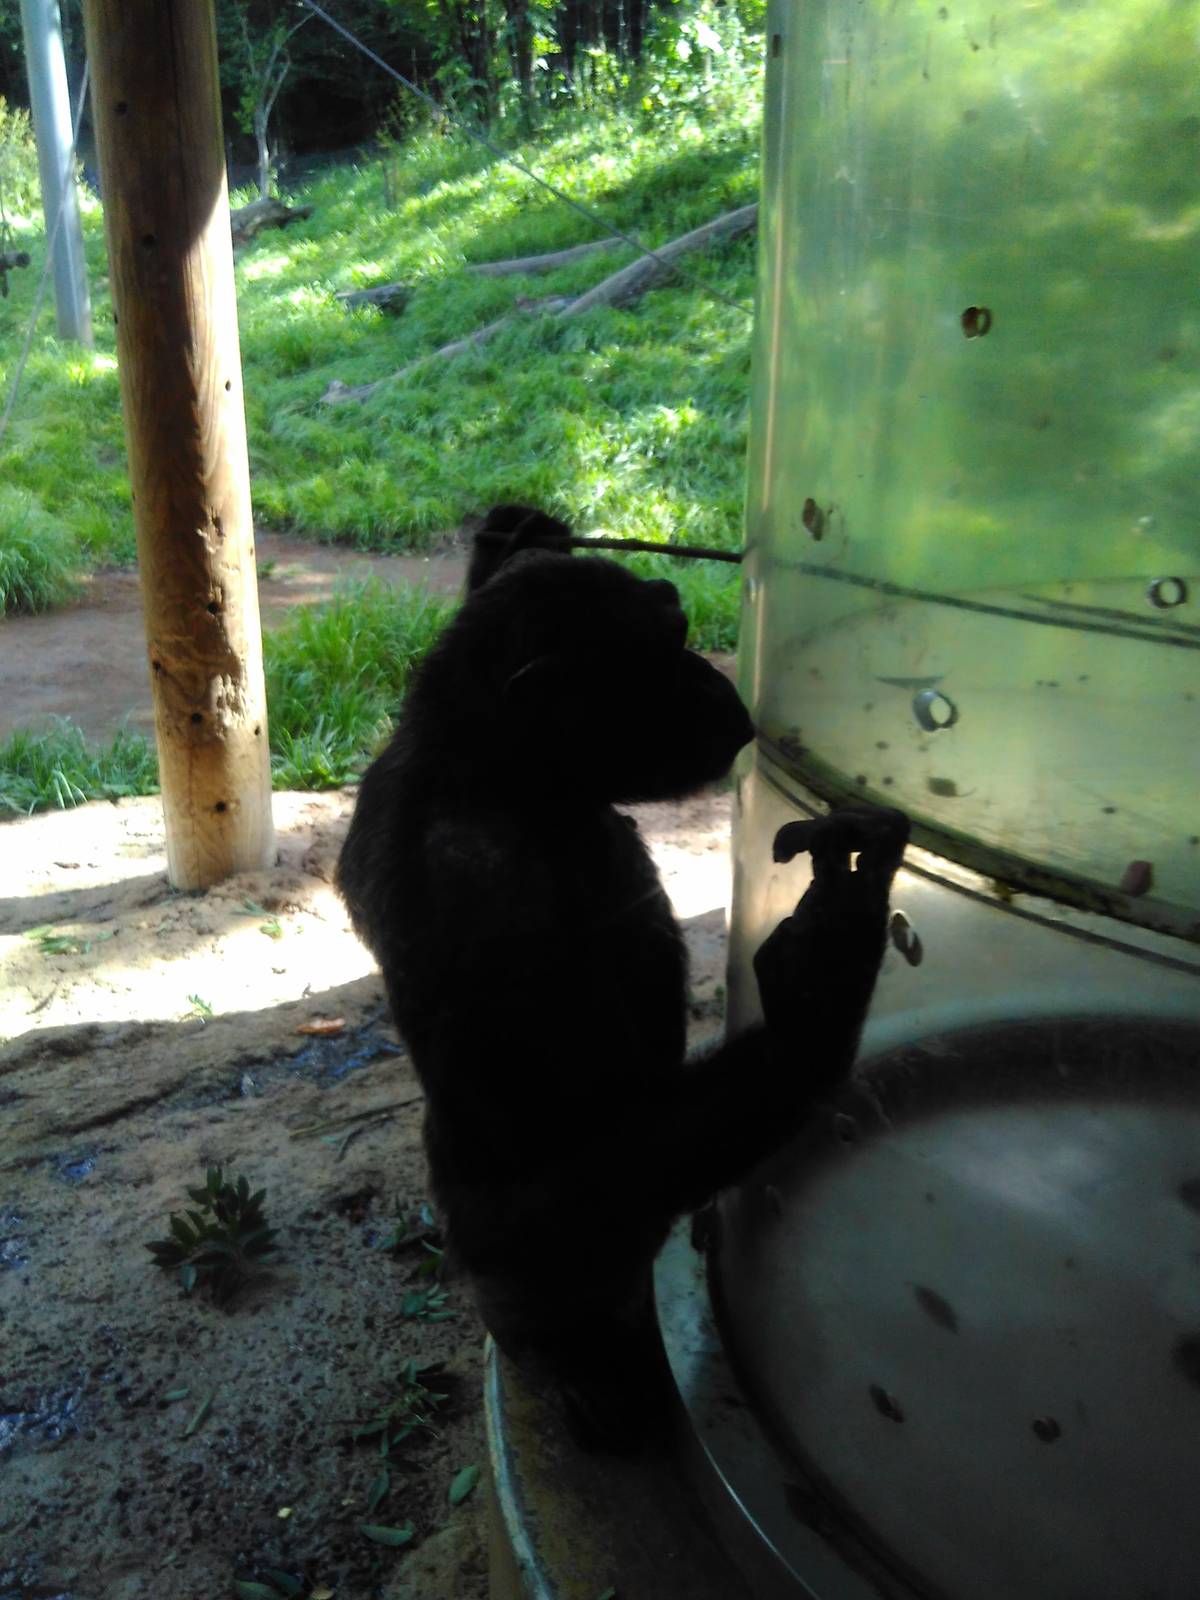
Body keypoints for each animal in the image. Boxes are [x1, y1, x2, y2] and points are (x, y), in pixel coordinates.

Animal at [337, 506, 909, 1446]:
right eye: (663, 649)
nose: (719, 686)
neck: (500, 775)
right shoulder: (492, 908)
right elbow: (587, 1138)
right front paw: (822, 983)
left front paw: (519, 532)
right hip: (531, 1287)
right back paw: (594, 1379)